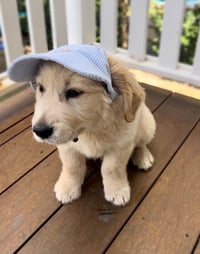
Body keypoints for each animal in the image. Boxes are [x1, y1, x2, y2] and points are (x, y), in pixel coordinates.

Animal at [31, 56, 156, 205]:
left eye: (73, 92)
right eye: (41, 88)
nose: (39, 131)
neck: (90, 129)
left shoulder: (121, 145)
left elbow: (112, 169)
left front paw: (117, 190)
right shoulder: (67, 146)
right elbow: (72, 166)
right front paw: (68, 187)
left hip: (147, 124)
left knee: (141, 144)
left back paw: (143, 156)